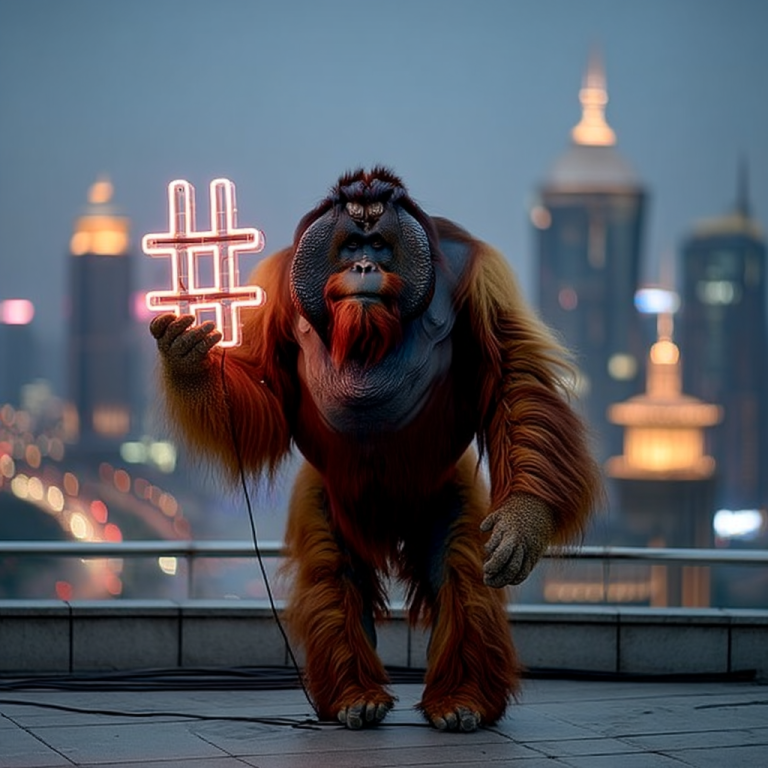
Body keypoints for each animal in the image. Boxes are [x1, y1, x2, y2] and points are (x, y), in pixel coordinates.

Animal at [149, 167, 600, 732]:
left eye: (381, 245)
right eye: (350, 246)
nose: (364, 265)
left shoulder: (481, 275)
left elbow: (514, 380)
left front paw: (523, 523)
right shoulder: (274, 287)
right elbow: (267, 394)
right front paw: (187, 356)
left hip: (445, 489)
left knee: (458, 566)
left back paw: (461, 700)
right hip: (325, 495)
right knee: (332, 569)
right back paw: (354, 697)